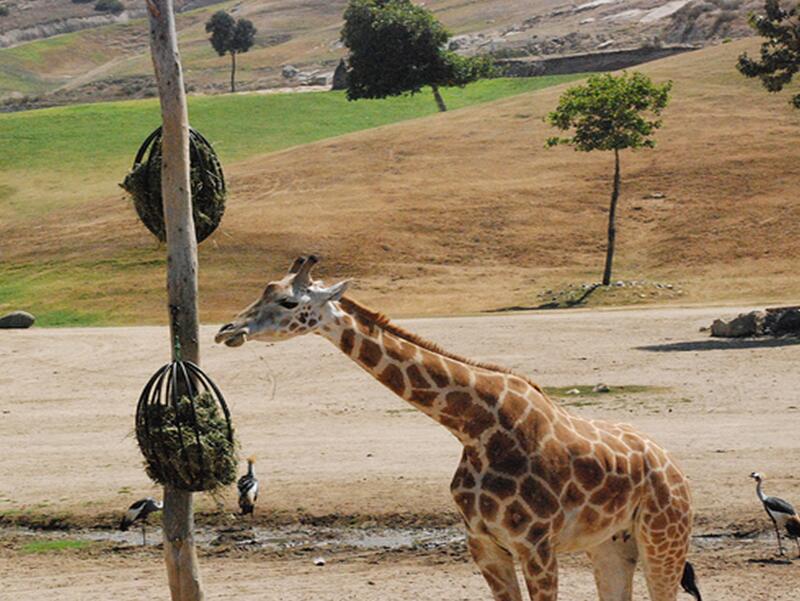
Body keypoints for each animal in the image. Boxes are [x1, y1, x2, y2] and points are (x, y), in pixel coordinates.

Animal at [217, 255, 700, 596]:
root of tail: (673, 466)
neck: (474, 428)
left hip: (664, 538)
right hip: (611, 545)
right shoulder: (484, 546)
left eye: (288, 302)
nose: (226, 330)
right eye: (264, 292)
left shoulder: (536, 546)